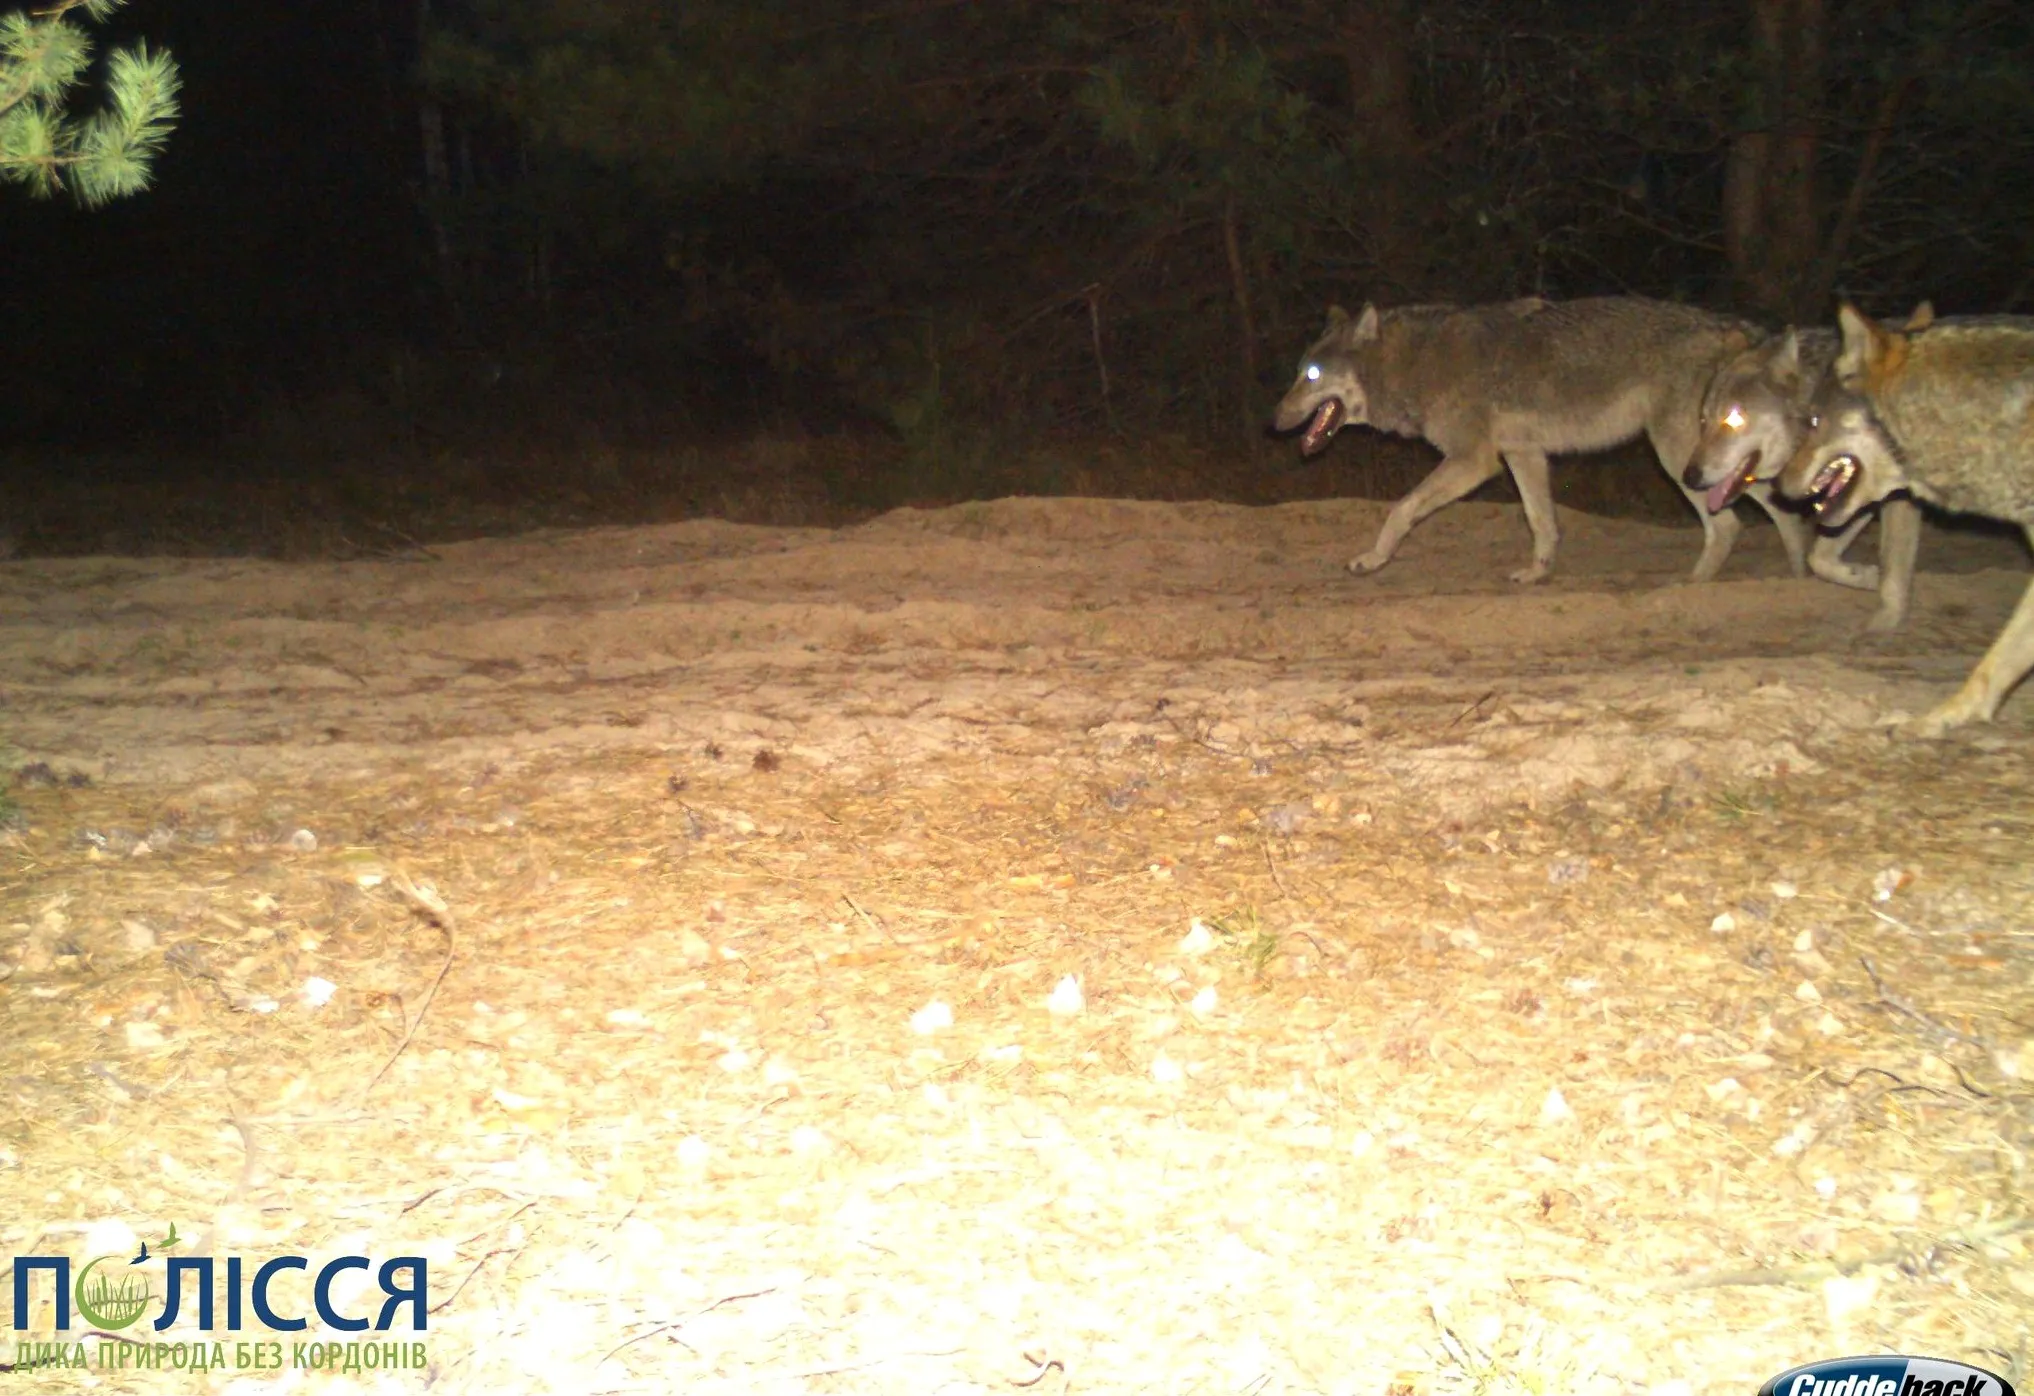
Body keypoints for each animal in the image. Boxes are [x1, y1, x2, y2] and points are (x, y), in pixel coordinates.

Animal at [1269, 301, 1830, 586]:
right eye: (1297, 372)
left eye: (1311, 375)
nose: (1273, 421)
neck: (1413, 362)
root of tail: (1736, 328)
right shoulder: (1524, 453)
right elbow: (1543, 523)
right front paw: (1537, 573)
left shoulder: (1475, 460)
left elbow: (1400, 510)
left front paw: (1372, 559)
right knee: (1773, 507)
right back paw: (1795, 577)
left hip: (1681, 458)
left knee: (1731, 524)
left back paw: (1692, 587)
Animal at [1684, 313, 1936, 634]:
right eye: (1704, 420)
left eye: (1734, 418)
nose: (1689, 476)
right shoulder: (1851, 494)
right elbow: (1819, 558)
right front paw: (1865, 577)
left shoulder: (1896, 494)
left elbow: (1893, 568)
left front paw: (1884, 625)